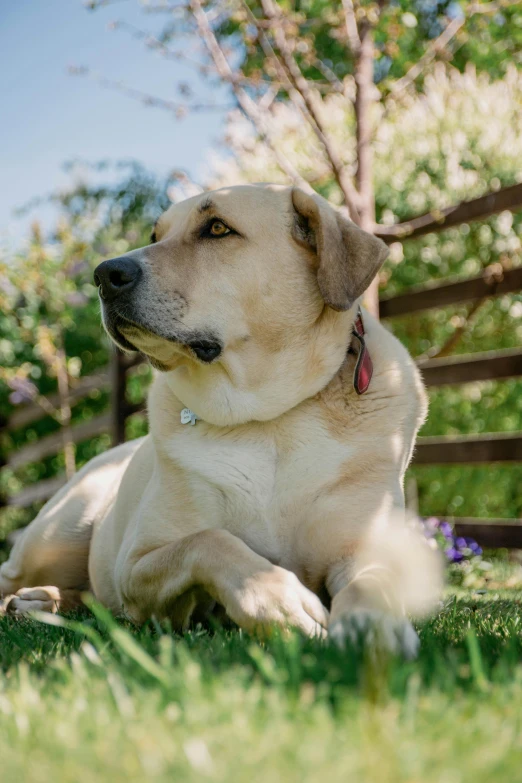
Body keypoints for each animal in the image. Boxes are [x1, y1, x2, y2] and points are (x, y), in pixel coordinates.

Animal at [0, 185, 438, 656]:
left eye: (217, 228)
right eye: (155, 235)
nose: (104, 274)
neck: (268, 419)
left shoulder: (366, 549)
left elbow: (372, 582)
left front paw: (373, 626)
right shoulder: (135, 565)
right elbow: (209, 542)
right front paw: (281, 604)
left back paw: (44, 601)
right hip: (59, 533)